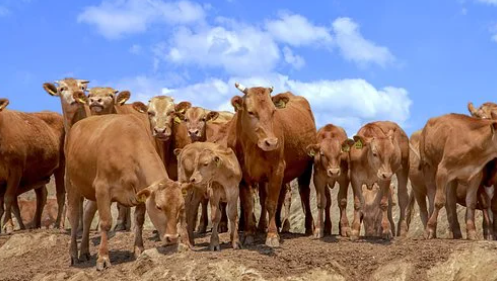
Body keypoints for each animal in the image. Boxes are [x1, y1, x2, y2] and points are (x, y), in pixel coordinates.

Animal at [0, 98, 65, 232]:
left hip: (61, 166)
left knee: (60, 194)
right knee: (41, 197)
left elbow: (8, 198)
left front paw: (8, 225)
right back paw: (36, 224)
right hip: (38, 173)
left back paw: (57, 224)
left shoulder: (15, 169)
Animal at [228, 82, 316, 246]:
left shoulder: (277, 169)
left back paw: (308, 227)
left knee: (304, 193)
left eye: (273, 111)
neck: (251, 146)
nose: (272, 142)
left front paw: (272, 235)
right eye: (250, 112)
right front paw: (249, 234)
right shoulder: (243, 176)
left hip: (307, 166)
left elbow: (271, 203)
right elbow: (249, 204)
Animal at [420, 112, 497, 240]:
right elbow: (439, 201)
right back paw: (431, 230)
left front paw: (471, 232)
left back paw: (456, 233)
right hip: (428, 167)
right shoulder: (443, 170)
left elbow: (471, 202)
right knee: (431, 198)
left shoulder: (476, 176)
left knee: (450, 201)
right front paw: (430, 229)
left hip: (453, 180)